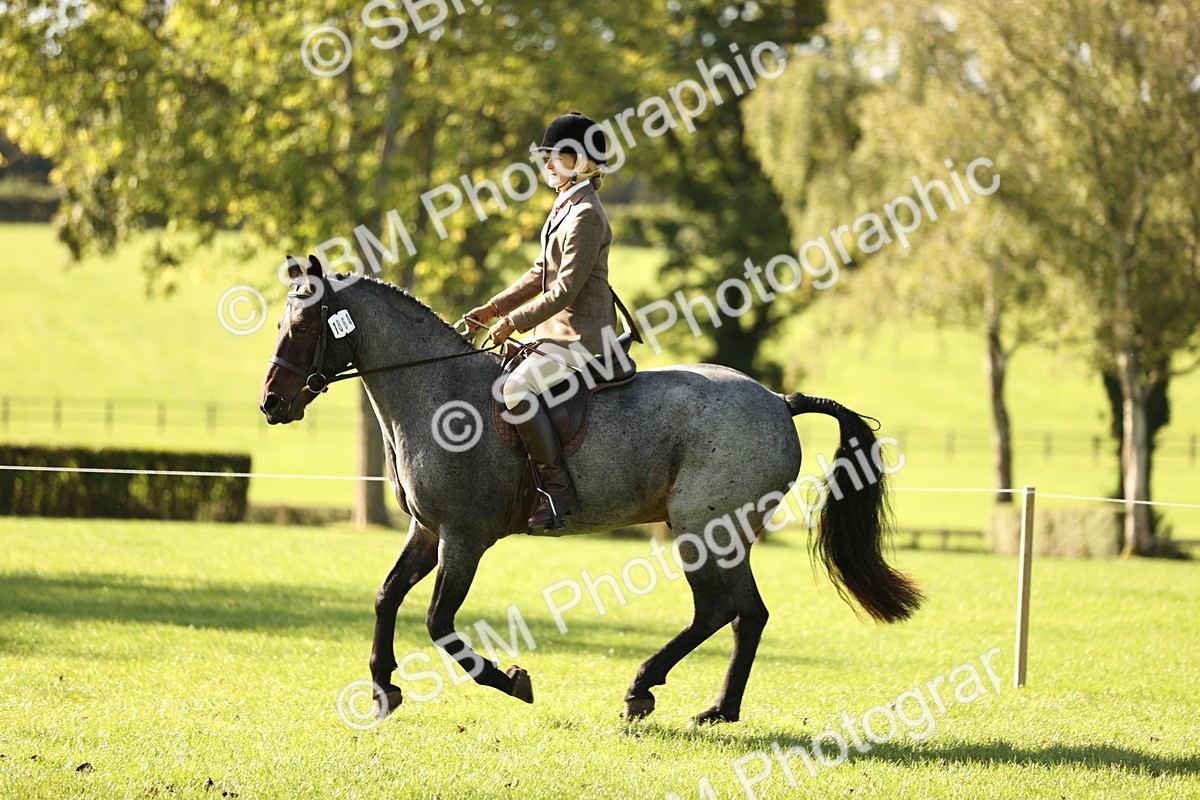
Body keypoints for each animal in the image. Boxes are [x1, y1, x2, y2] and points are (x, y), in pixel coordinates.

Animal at [258, 256, 923, 724]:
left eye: (306, 323)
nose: (271, 404)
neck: (436, 391)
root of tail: (779, 401)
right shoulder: (428, 531)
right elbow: (385, 597)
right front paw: (382, 689)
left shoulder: (464, 537)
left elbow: (438, 622)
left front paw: (511, 681)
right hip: (727, 534)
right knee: (746, 614)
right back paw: (718, 710)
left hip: (701, 529)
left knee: (718, 609)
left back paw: (642, 690)